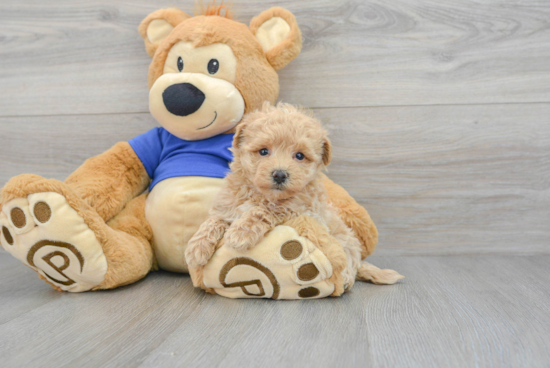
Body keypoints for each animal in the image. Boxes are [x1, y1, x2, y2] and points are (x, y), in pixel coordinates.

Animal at [188, 101, 404, 288]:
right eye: (263, 151)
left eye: (299, 156)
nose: (280, 174)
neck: (261, 194)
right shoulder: (228, 206)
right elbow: (214, 221)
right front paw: (196, 248)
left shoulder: (301, 210)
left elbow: (265, 209)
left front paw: (241, 233)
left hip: (348, 242)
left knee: (350, 262)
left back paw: (345, 279)